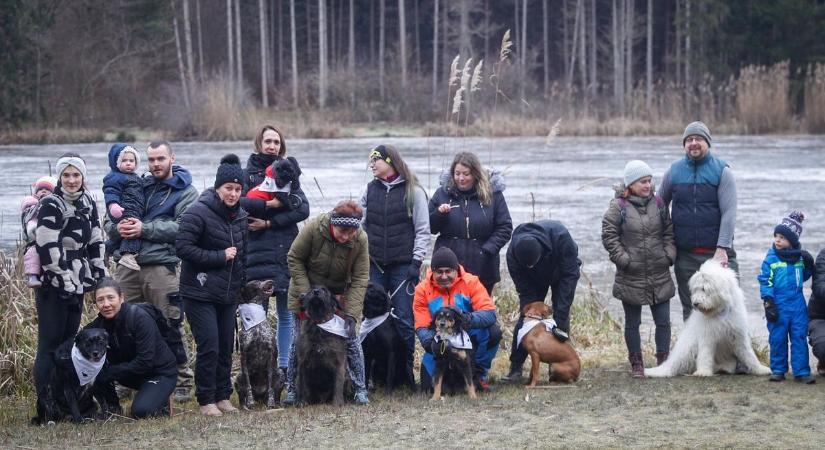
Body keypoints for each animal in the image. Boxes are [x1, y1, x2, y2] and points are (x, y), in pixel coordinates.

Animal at [233, 280, 282, 410]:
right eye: (256, 282)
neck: (256, 323)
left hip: (280, 373)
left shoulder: (271, 355)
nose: (271, 281)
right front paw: (250, 403)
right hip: (238, 377)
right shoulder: (244, 357)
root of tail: (259, 396)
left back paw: (277, 403)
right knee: (242, 396)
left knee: (276, 393)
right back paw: (243, 406)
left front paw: (271, 403)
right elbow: (248, 386)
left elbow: (270, 387)